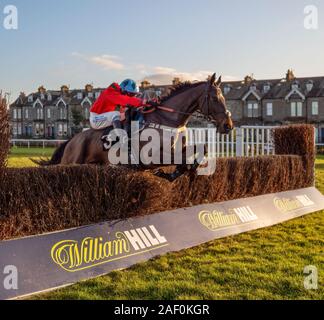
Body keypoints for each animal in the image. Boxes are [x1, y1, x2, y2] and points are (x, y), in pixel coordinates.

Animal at [34, 73, 233, 181]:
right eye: (215, 98)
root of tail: (71, 141)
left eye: (224, 97)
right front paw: (175, 172)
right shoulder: (151, 157)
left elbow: (201, 149)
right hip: (73, 160)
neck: (166, 118)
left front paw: (183, 172)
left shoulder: (177, 148)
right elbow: (181, 159)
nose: (228, 125)